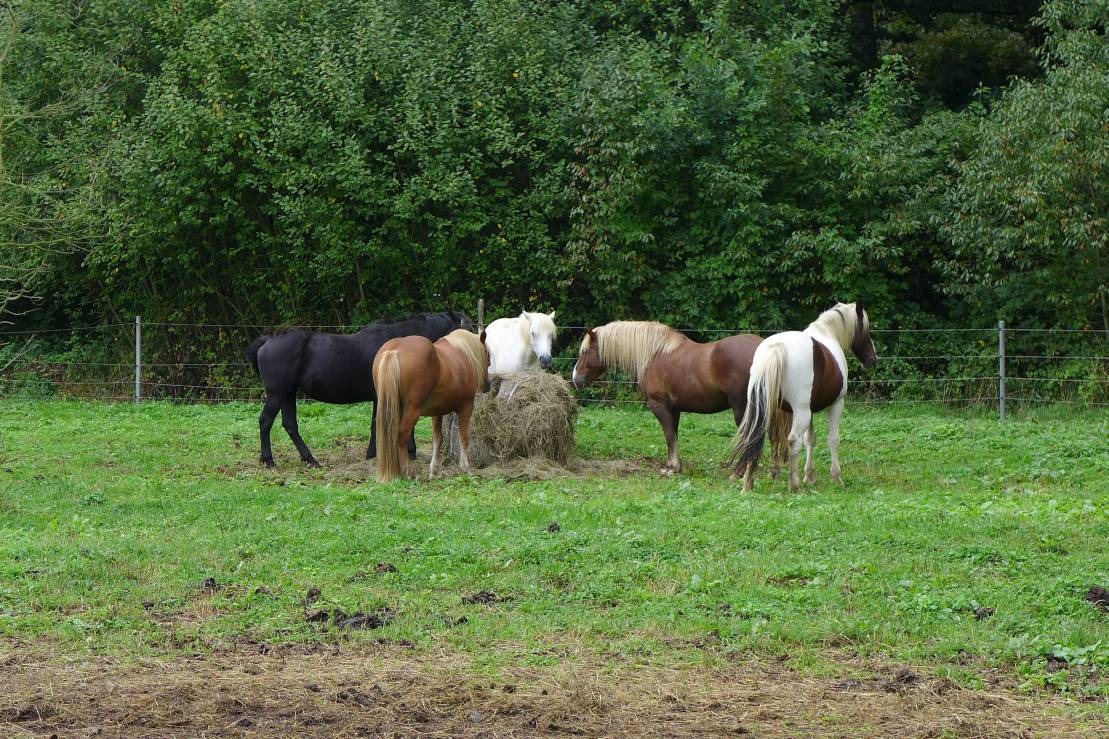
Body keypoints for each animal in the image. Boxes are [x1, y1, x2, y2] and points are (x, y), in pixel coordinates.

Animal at [247, 310, 472, 466]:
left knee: (290, 425)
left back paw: (310, 459)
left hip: (288, 393)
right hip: (277, 393)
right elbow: (378, 422)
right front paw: (375, 453)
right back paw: (269, 460)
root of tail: (267, 340)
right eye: (468, 327)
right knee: (265, 421)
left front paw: (408, 451)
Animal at [372, 326, 490, 477]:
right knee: (402, 437)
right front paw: (466, 467)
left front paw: (434, 471)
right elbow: (463, 436)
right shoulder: (466, 406)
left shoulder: (437, 412)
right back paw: (407, 472)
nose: (487, 386)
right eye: (487, 354)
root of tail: (393, 351)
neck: (462, 354)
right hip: (412, 411)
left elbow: (437, 439)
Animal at [572, 321, 789, 477]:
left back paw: (737, 473)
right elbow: (674, 436)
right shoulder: (674, 409)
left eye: (585, 352)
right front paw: (675, 466)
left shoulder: (660, 406)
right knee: (772, 435)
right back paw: (773, 472)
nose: (575, 379)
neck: (654, 355)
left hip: (744, 409)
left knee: (751, 437)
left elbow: (668, 435)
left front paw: (671, 468)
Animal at [727, 301, 873, 492]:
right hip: (801, 412)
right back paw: (794, 485)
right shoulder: (836, 406)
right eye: (865, 328)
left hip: (764, 409)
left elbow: (810, 440)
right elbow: (833, 440)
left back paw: (748, 484)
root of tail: (777, 348)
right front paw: (836, 477)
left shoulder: (810, 410)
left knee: (755, 437)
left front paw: (810, 476)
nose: (872, 359)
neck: (827, 333)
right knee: (793, 440)